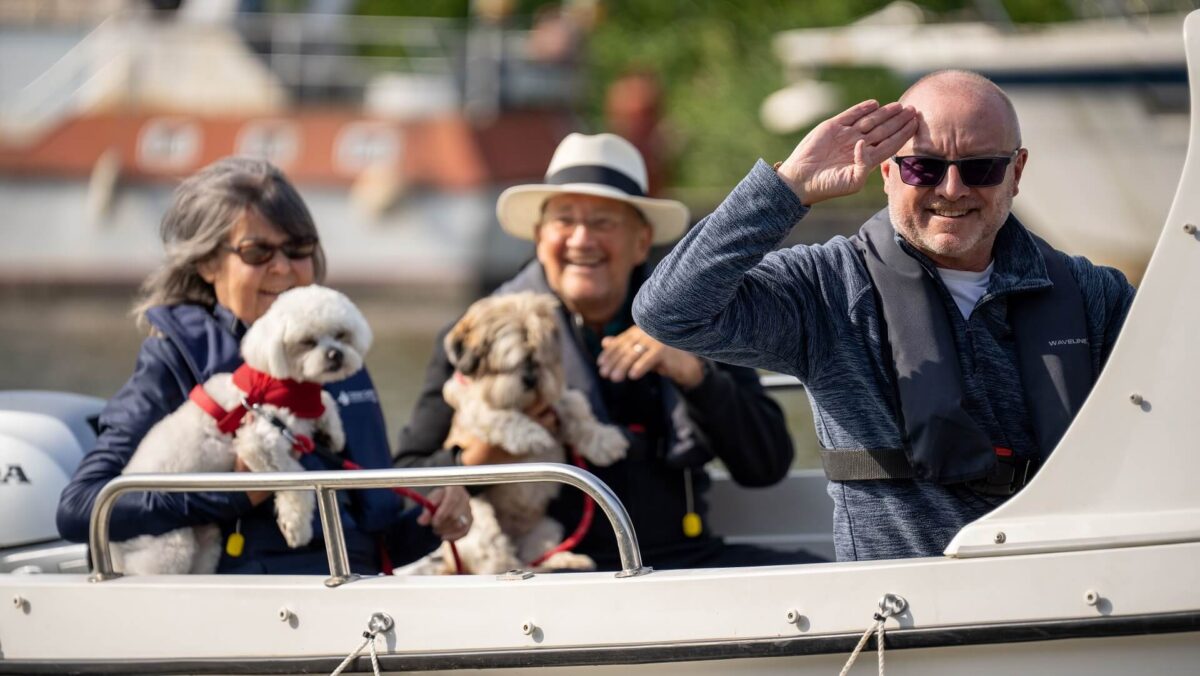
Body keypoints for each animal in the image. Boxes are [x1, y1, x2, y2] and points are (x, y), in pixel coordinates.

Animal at [115, 285, 374, 576]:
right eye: (307, 341)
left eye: (341, 335)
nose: (335, 354)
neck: (278, 383)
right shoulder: (259, 442)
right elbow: (298, 482)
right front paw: (296, 527)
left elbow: (325, 403)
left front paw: (333, 433)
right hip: (167, 547)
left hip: (206, 541)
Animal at [432, 291, 624, 576]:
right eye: (511, 362)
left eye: (538, 356)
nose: (531, 378)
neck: (526, 404)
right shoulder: (476, 409)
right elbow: (502, 417)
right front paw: (533, 436)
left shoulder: (556, 399)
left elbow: (576, 409)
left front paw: (605, 441)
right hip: (477, 523)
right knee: (497, 559)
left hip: (547, 527)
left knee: (538, 553)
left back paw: (563, 560)